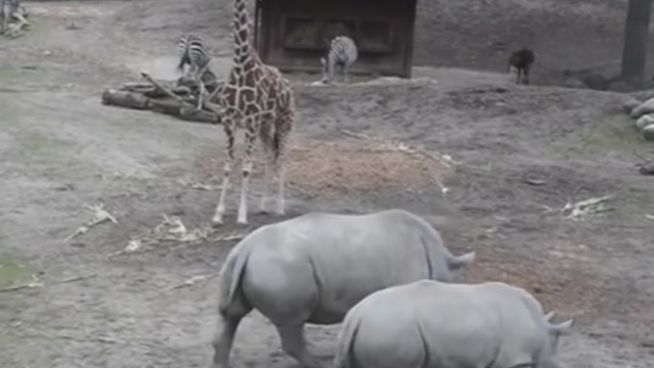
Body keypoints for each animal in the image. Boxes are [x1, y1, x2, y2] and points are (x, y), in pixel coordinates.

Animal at [211, 0, 296, 226]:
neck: (241, 64)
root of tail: (288, 86)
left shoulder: (249, 121)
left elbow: (246, 168)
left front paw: (241, 216)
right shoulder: (228, 121)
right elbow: (227, 166)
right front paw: (218, 214)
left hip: (285, 122)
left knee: (283, 158)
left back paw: (280, 207)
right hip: (265, 126)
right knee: (269, 156)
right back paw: (264, 205)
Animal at [214, 208, 476, 366]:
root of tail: (246, 248)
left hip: (238, 264)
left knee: (232, 315)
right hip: (282, 268)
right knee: (292, 323)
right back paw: (318, 363)